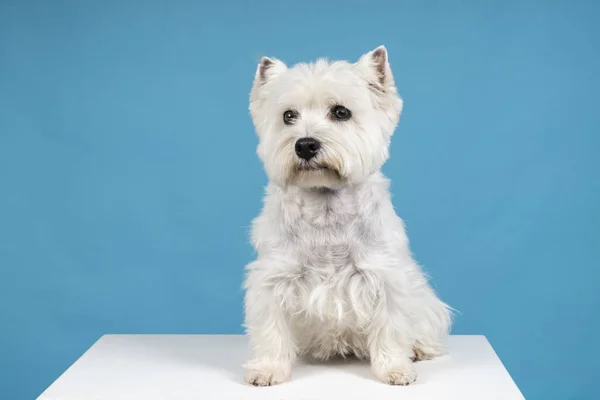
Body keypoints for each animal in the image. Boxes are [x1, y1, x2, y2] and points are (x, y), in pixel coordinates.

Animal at [244, 47, 450, 388]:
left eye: (341, 112)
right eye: (288, 116)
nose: (305, 144)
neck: (326, 207)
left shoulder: (385, 276)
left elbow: (391, 326)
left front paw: (395, 369)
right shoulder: (274, 277)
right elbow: (271, 329)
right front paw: (268, 369)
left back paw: (418, 349)